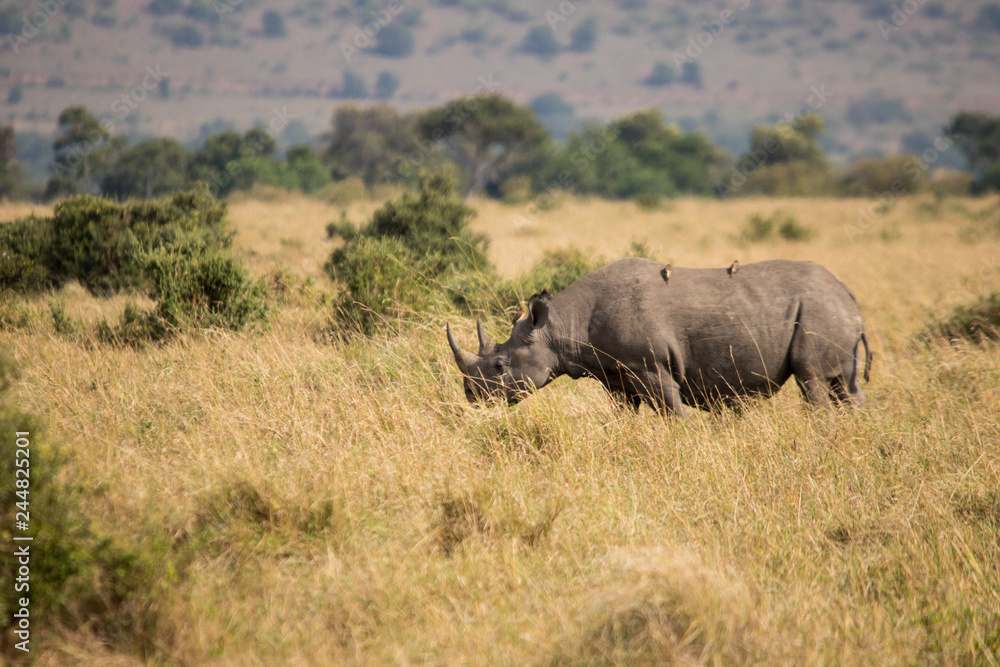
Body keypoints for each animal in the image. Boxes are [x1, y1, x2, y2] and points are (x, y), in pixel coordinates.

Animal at [446, 257, 871, 414]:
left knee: (812, 378)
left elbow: (674, 412)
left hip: (817, 311)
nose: (471, 396)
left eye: (500, 366)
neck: (559, 326)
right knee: (844, 385)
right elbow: (622, 416)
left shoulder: (650, 365)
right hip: (829, 312)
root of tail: (850, 295)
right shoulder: (615, 373)